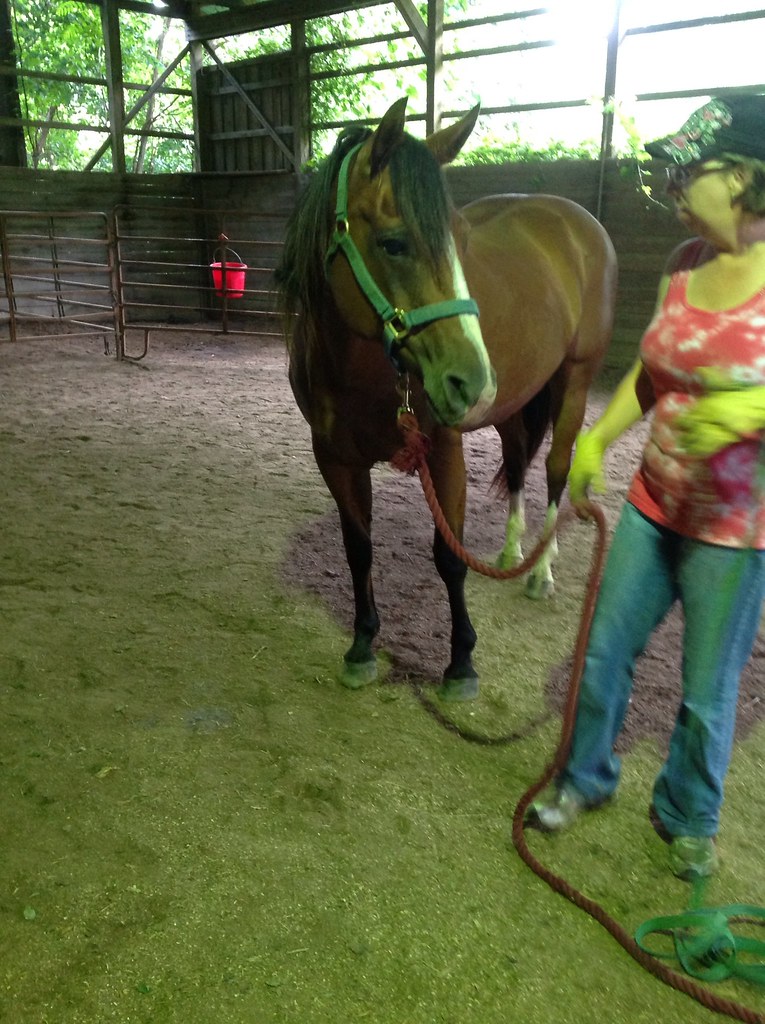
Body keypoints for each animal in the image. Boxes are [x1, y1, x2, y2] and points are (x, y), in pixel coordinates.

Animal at [277, 97, 617, 701]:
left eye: (459, 244)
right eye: (394, 242)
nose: (472, 381)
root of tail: (578, 221)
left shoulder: (444, 452)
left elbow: (449, 558)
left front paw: (461, 662)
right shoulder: (334, 458)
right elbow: (358, 548)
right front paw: (362, 646)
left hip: (572, 384)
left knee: (556, 469)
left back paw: (541, 570)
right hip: (512, 406)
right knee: (518, 464)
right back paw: (511, 553)